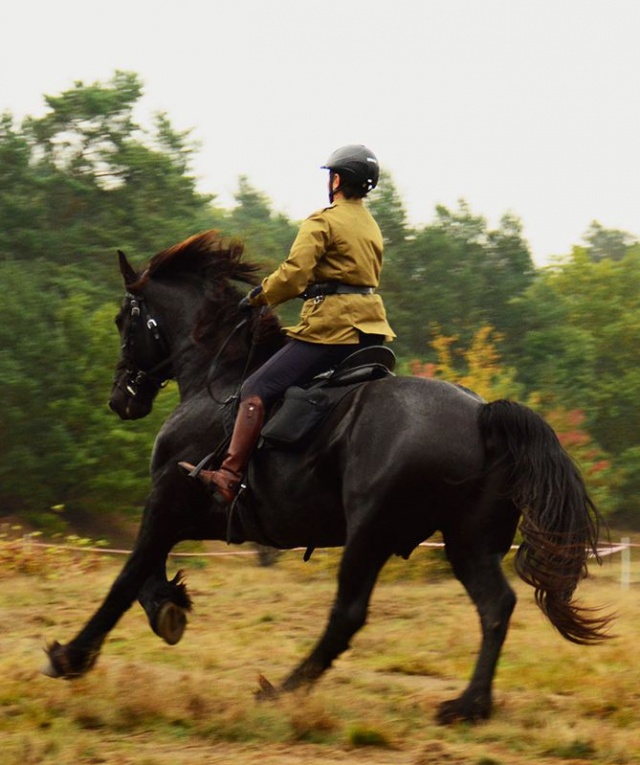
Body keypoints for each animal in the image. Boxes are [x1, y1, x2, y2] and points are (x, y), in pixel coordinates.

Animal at [42, 230, 612, 720]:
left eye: (124, 319)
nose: (121, 399)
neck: (215, 376)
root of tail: (483, 415)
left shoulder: (169, 499)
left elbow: (129, 574)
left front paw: (71, 655)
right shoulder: (195, 513)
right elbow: (147, 570)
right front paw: (168, 606)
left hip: (371, 534)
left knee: (349, 614)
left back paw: (282, 690)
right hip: (466, 541)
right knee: (496, 607)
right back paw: (469, 705)